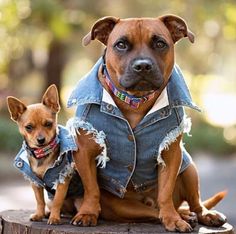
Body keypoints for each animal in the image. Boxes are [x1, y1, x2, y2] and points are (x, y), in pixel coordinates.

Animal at [67, 15, 226, 232]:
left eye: (160, 43)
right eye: (121, 44)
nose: (142, 65)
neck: (135, 100)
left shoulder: (170, 153)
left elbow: (165, 193)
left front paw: (173, 219)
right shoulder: (85, 152)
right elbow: (91, 189)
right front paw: (87, 213)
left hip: (189, 169)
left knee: (192, 202)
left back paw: (196, 215)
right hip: (122, 206)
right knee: (151, 212)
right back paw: (184, 215)